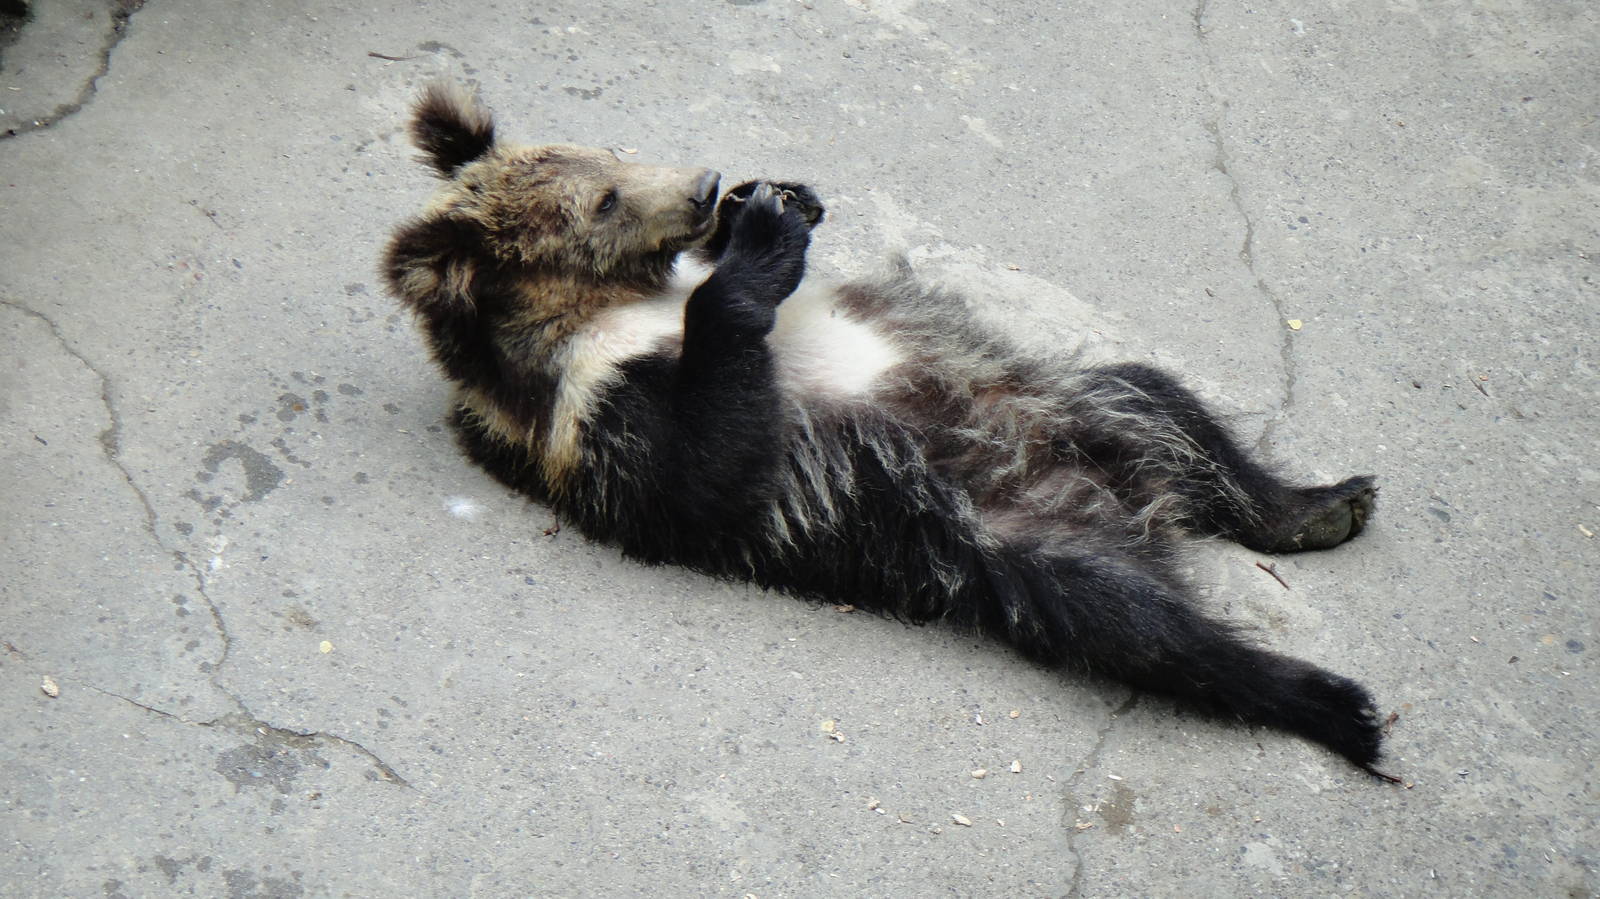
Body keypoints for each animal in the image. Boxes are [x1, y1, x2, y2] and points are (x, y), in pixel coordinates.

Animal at [383, 84, 1392, 777]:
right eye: (601, 202)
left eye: (607, 156)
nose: (703, 185)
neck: (610, 307)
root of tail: (1121, 492)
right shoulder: (601, 424)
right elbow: (714, 459)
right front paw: (756, 248)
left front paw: (774, 196)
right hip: (995, 533)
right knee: (1139, 624)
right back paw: (1333, 701)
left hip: (1076, 399)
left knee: (1166, 399)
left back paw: (1318, 503)